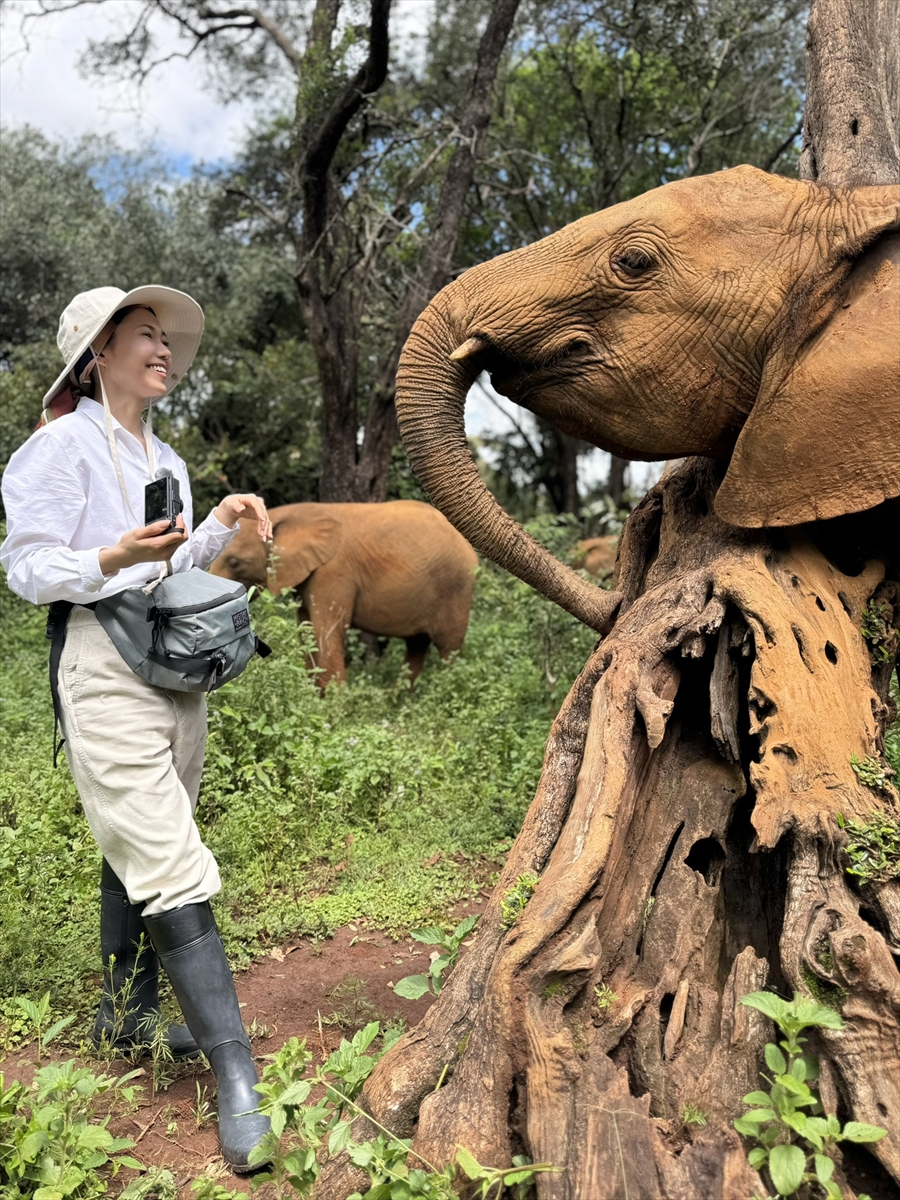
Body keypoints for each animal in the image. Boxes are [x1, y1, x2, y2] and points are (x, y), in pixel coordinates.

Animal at [211, 496, 480, 686]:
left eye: (234, 563)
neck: (285, 514)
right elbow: (306, 629)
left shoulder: (334, 571)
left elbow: (328, 629)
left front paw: (333, 704)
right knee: (417, 647)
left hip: (455, 588)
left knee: (449, 648)